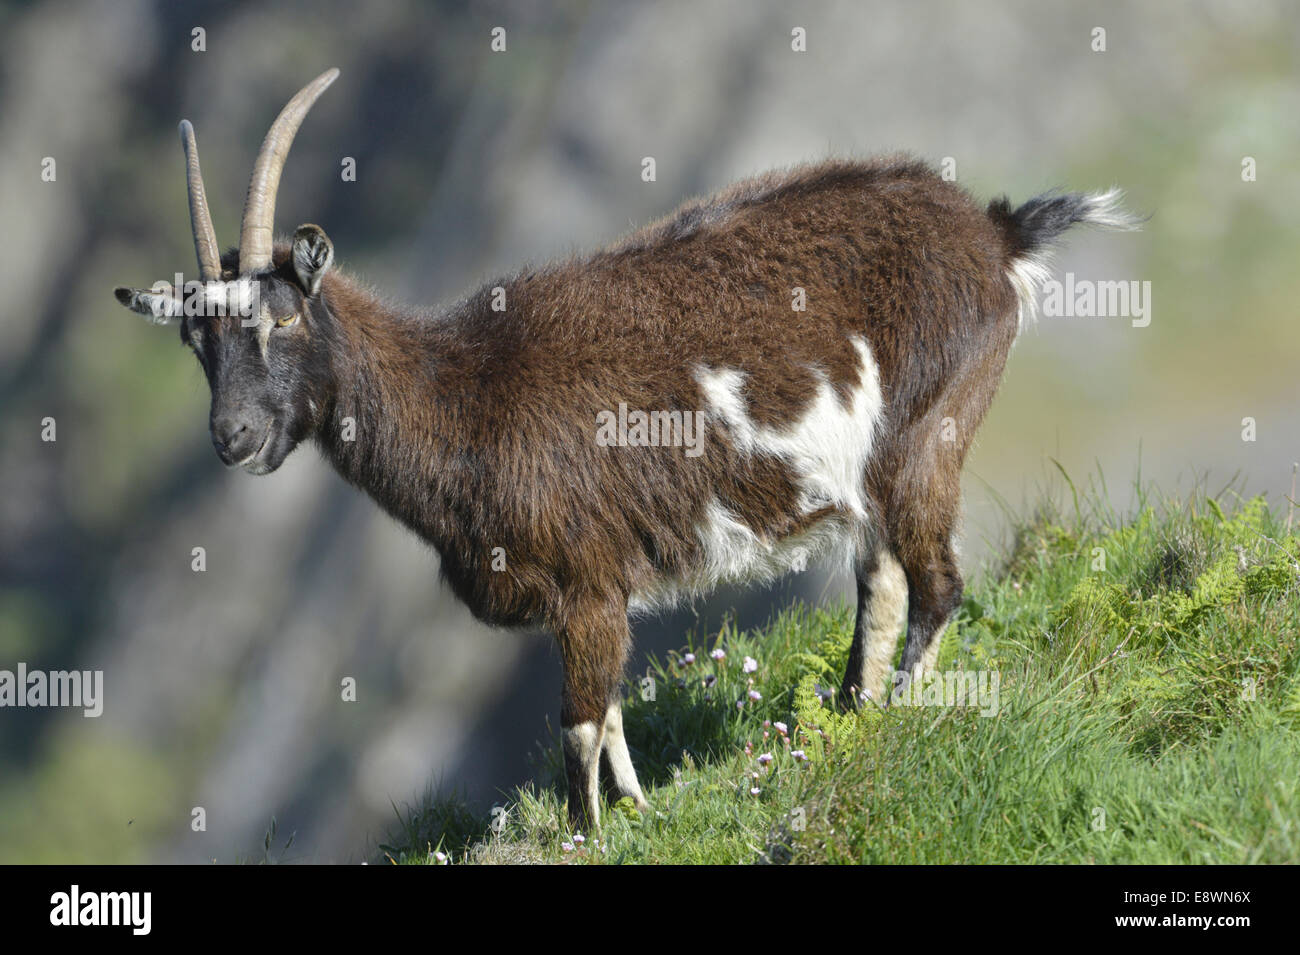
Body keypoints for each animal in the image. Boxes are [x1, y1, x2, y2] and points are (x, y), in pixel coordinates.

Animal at [119, 70, 1138, 831]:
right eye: (196, 341)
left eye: (283, 317)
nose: (232, 436)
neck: (466, 390)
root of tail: (995, 230)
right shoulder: (592, 590)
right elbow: (609, 713)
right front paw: (642, 811)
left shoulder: (585, 583)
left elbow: (578, 723)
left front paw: (590, 833)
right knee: (885, 579)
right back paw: (846, 723)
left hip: (927, 434)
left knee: (937, 583)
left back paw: (885, 727)